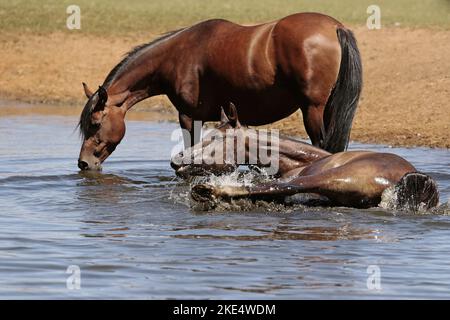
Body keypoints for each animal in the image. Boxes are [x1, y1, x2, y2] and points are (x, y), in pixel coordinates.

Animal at [173, 104, 440, 211]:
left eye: (215, 138)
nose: (176, 161)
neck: (305, 160)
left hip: (330, 178)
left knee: (274, 187)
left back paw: (207, 192)